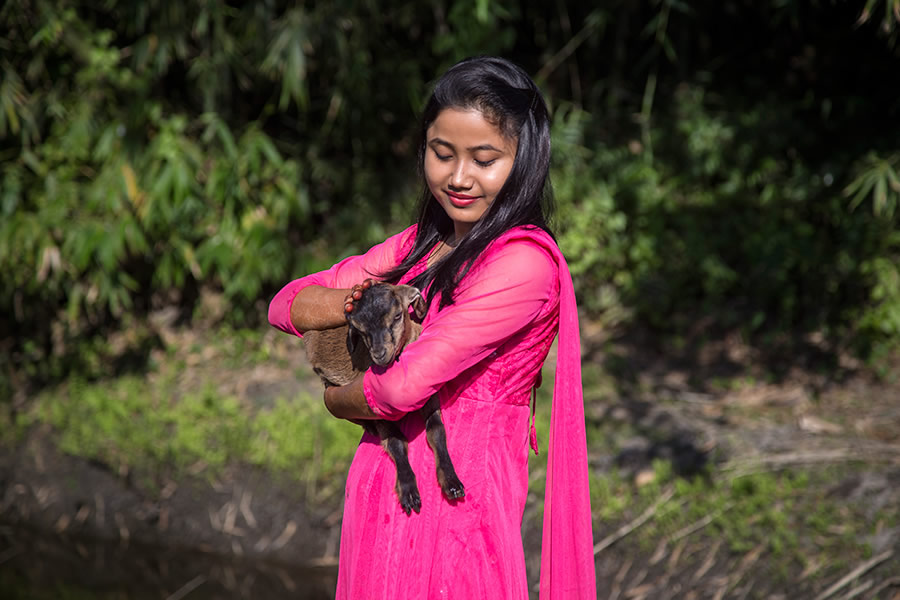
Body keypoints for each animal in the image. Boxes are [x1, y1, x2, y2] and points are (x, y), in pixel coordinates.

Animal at [306, 284, 468, 512]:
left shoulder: (429, 397)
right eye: (360, 330)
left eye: (398, 315)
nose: (379, 354)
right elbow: (395, 441)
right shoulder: (378, 413)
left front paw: (452, 482)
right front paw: (408, 490)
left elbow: (437, 430)